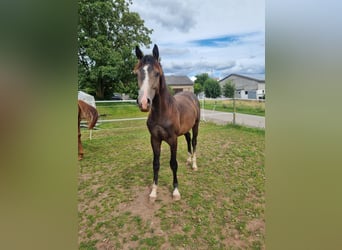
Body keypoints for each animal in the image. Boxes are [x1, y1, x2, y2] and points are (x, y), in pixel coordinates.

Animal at [133, 44, 199, 201]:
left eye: (157, 73)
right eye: (136, 73)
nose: (144, 103)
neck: (163, 113)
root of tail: (191, 94)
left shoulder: (173, 140)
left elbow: (173, 164)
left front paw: (175, 191)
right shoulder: (155, 139)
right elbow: (155, 164)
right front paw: (153, 192)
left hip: (196, 126)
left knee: (194, 142)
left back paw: (194, 164)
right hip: (185, 129)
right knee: (188, 139)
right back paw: (188, 160)